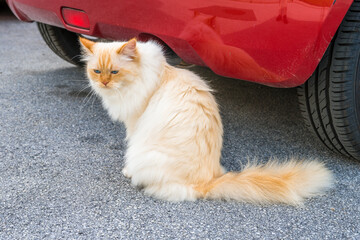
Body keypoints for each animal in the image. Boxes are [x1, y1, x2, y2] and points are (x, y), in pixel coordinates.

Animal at [79, 37, 332, 204]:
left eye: (114, 72)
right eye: (96, 71)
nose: (103, 83)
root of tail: (207, 182)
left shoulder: (134, 123)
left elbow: (129, 148)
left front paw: (127, 171)